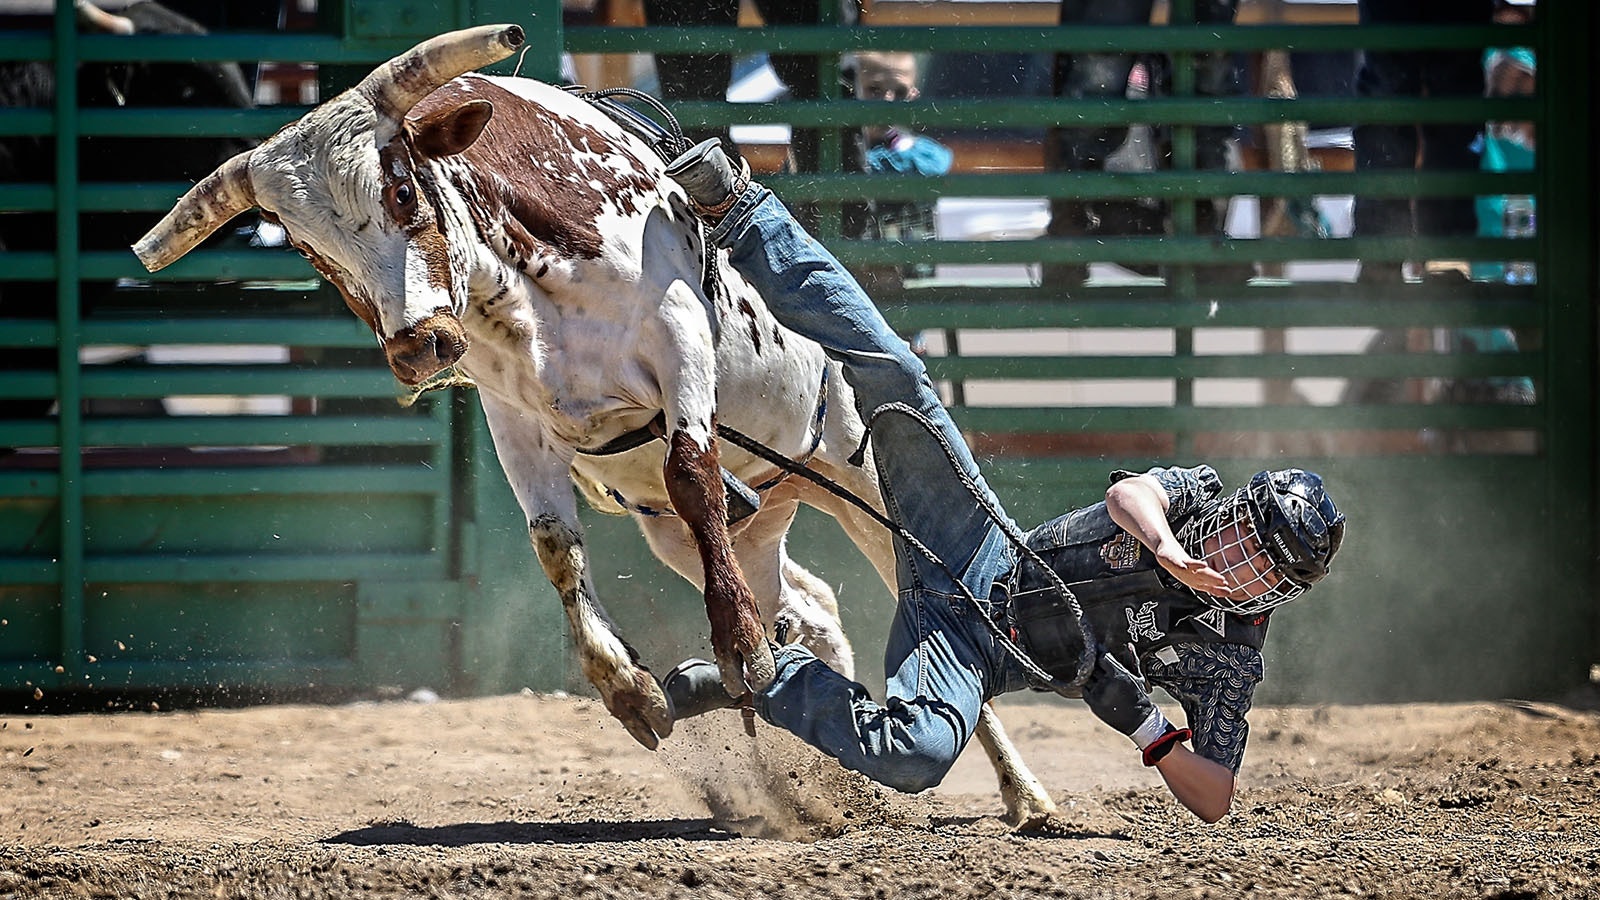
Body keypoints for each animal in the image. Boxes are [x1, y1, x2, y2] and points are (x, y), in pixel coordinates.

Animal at [137, 24, 1062, 826]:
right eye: (313, 252)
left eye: (400, 188)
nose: (417, 347)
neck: (523, 276)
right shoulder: (514, 419)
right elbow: (556, 545)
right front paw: (632, 690)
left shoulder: (678, 339)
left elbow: (692, 470)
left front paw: (738, 652)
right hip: (723, 526)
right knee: (809, 601)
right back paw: (815, 772)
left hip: (861, 474)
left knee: (927, 587)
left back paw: (1023, 794)